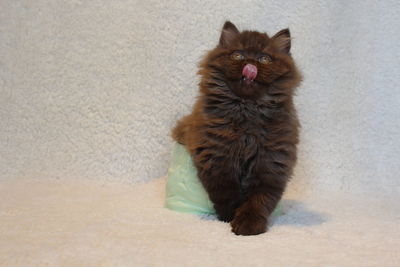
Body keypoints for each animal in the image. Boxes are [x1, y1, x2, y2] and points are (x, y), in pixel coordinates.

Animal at [171, 21, 300, 237]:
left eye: (264, 58)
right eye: (238, 55)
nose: (250, 64)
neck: (247, 111)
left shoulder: (270, 161)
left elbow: (259, 199)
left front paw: (249, 224)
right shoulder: (216, 155)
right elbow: (226, 191)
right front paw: (230, 216)